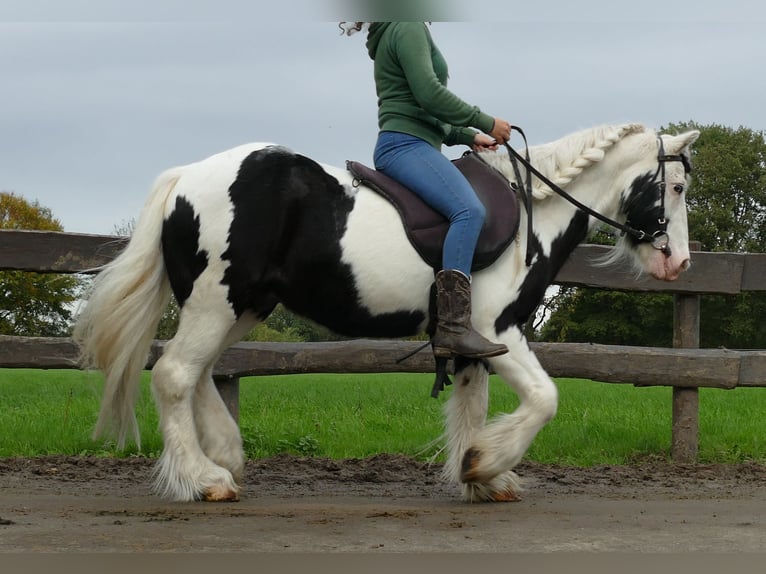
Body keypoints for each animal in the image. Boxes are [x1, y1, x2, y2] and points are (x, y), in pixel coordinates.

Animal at [73, 122, 704, 504]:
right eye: (674, 186)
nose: (679, 264)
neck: (533, 211)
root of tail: (185, 176)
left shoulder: (473, 342)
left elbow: (471, 405)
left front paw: (479, 473)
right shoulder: (497, 328)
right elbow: (545, 399)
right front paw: (486, 463)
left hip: (244, 306)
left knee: (198, 372)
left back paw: (225, 455)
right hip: (216, 301)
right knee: (176, 374)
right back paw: (205, 479)